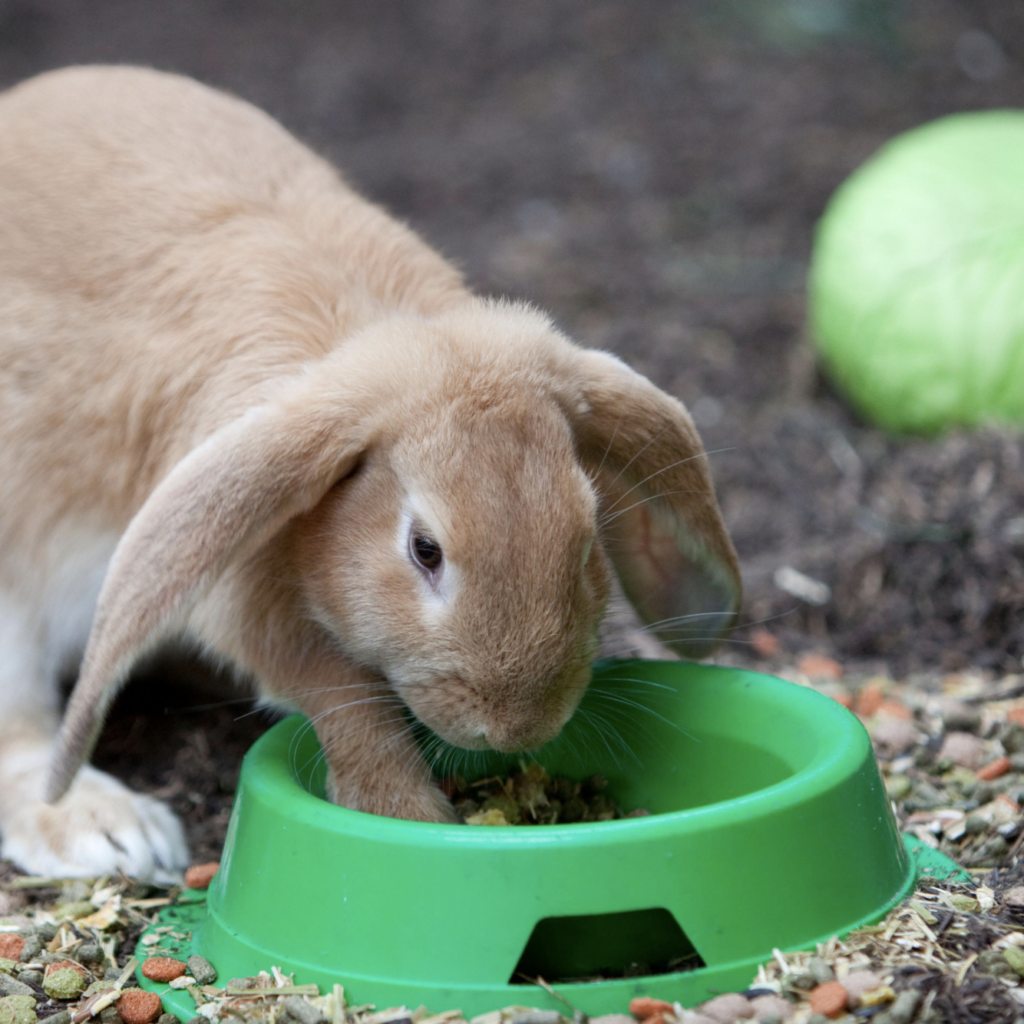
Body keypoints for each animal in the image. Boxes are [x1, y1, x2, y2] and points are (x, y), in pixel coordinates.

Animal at [0, 66, 741, 880]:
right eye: (424, 550)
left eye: (585, 542)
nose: (517, 727)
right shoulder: (249, 589)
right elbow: (341, 692)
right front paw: (405, 814)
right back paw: (105, 828)